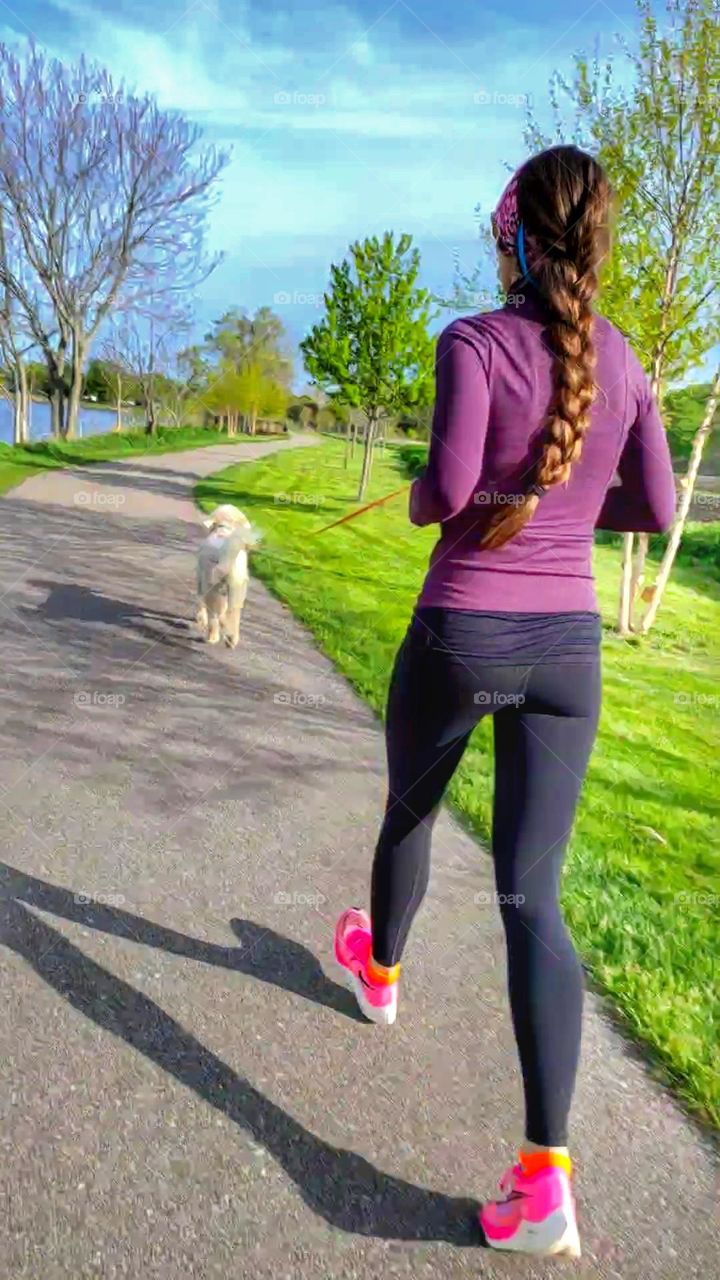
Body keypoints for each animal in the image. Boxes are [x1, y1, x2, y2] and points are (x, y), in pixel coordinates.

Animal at [196, 504, 260, 650]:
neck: (224, 528)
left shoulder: (201, 579)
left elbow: (201, 602)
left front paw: (201, 620)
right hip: (238, 587)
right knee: (233, 613)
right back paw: (231, 638)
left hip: (212, 585)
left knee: (215, 615)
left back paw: (212, 637)